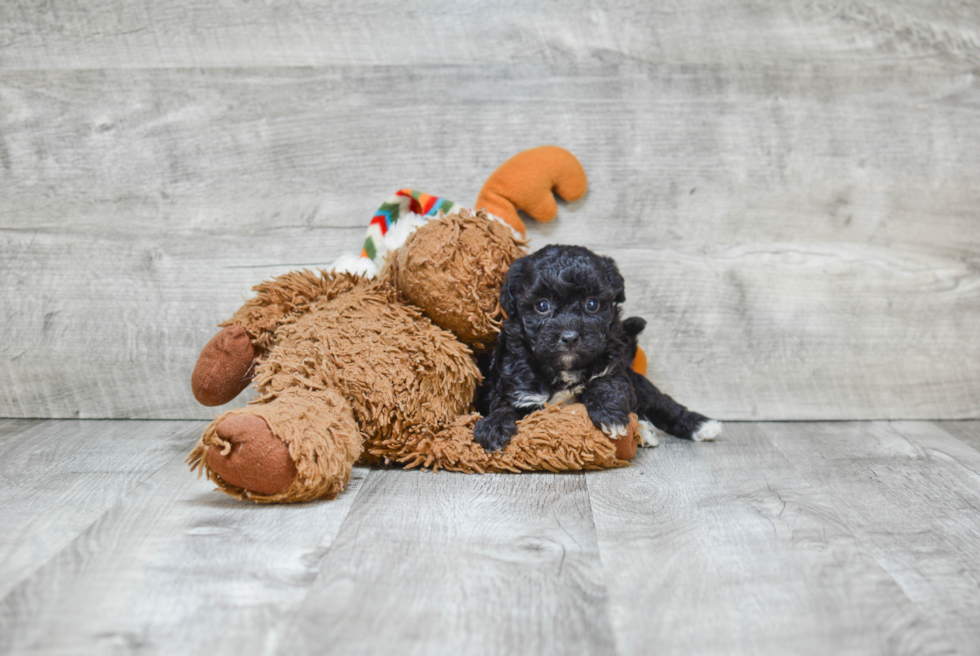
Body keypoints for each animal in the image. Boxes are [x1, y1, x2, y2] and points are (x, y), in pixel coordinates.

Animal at [474, 243, 720, 454]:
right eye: (542, 305)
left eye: (591, 304)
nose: (570, 337)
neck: (565, 369)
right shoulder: (518, 389)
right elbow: (506, 407)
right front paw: (493, 426)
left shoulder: (614, 366)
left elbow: (604, 382)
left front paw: (610, 414)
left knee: (661, 403)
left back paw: (701, 425)